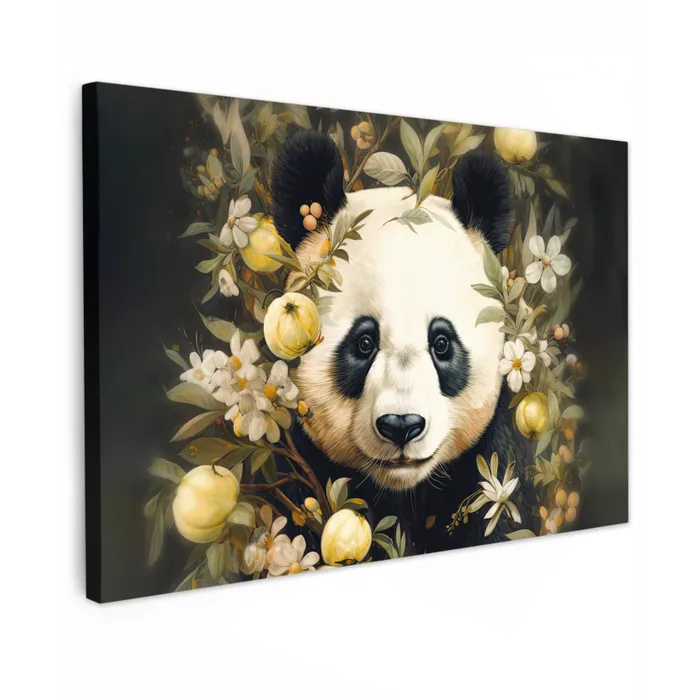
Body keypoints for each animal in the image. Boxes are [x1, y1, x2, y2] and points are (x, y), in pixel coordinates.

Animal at [270, 130, 533, 553]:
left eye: (441, 343)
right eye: (364, 343)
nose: (401, 426)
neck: (403, 495)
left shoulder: (493, 469)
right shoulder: (300, 470)